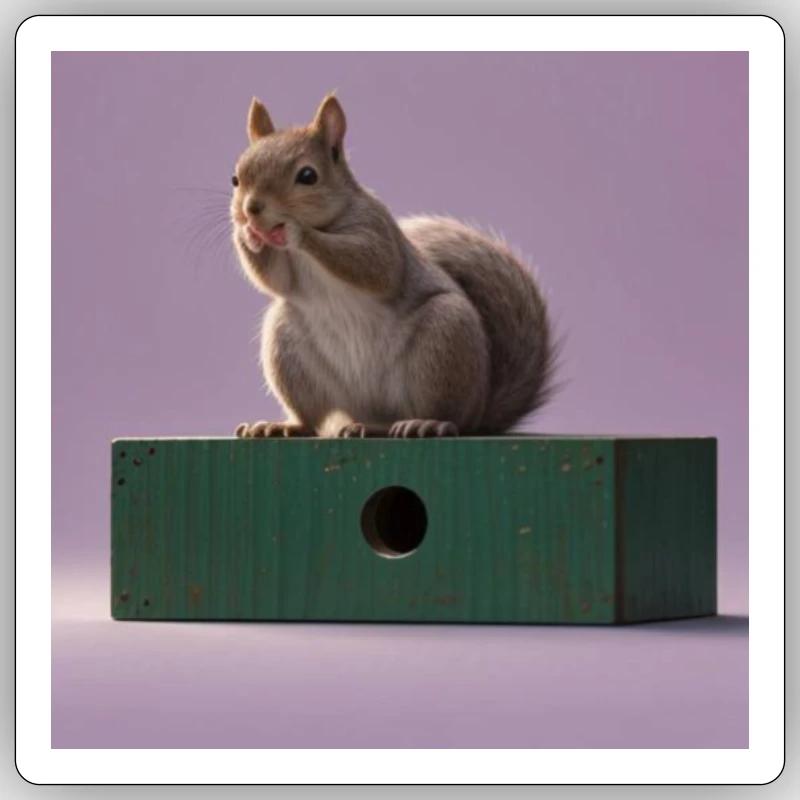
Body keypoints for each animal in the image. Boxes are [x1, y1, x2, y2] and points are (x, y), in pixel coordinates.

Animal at [231, 94, 555, 439]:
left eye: (308, 176)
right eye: (235, 178)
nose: (251, 209)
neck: (330, 220)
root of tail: (480, 412)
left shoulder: (378, 231)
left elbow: (373, 266)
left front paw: (295, 230)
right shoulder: (287, 272)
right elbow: (275, 280)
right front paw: (246, 235)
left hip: (444, 341)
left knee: (448, 414)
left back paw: (425, 422)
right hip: (287, 346)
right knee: (313, 419)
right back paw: (289, 426)